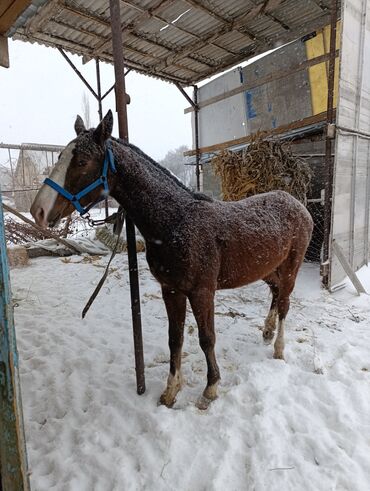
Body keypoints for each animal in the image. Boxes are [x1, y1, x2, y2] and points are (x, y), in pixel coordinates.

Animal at [30, 113, 312, 410]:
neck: (176, 222)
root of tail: (295, 202)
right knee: (275, 291)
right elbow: (174, 338)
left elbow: (206, 339)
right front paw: (170, 391)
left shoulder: (202, 292)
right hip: (266, 268)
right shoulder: (171, 290)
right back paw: (267, 331)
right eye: (60, 156)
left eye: (82, 161)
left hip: (291, 266)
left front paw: (210, 389)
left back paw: (278, 348)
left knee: (284, 302)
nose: (38, 210)